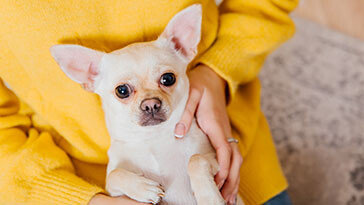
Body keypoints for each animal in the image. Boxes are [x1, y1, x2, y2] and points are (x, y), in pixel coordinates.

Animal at [50, 4, 242, 205]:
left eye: (168, 79)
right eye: (122, 91)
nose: (151, 104)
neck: (152, 138)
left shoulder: (217, 162)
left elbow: (196, 160)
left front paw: (208, 196)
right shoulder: (112, 191)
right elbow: (114, 175)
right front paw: (143, 188)